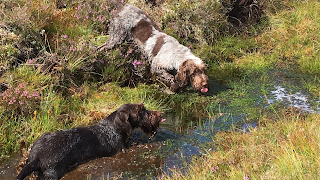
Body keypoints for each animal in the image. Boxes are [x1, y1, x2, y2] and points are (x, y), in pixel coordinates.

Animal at [16, 103, 165, 179]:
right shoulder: (120, 149)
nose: (159, 114)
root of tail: (36, 158)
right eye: (141, 110)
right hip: (52, 174)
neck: (112, 128)